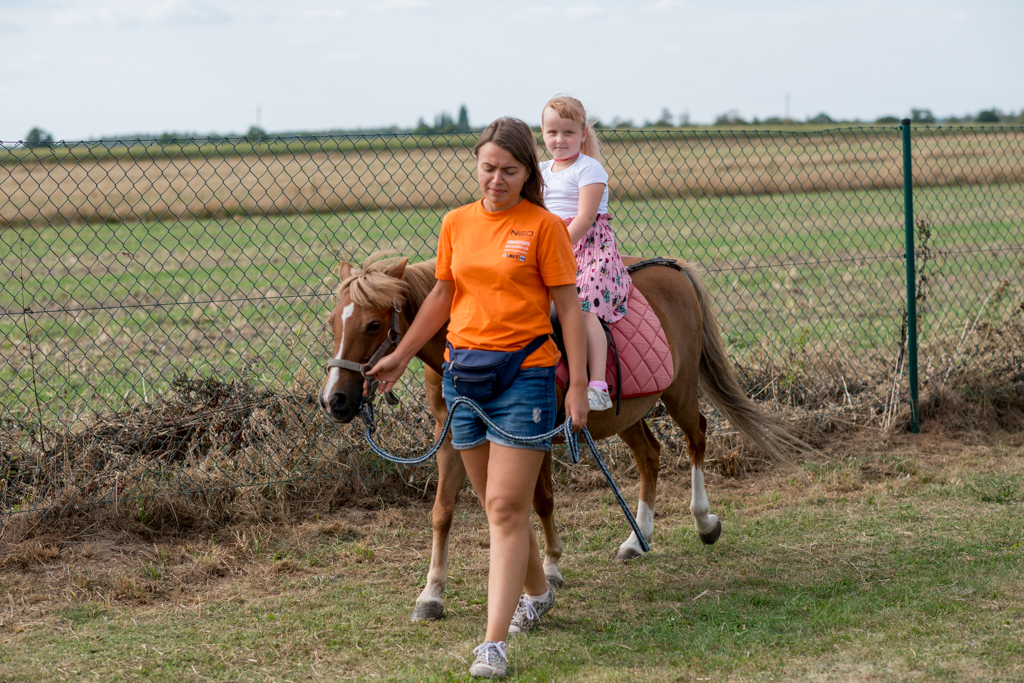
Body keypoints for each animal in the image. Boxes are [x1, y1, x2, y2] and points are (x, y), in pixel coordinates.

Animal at [321, 253, 806, 622]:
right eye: (332, 322)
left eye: (373, 324)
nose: (334, 400)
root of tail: (673, 268)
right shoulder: (454, 438)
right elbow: (443, 513)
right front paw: (431, 596)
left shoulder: (531, 435)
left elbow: (542, 501)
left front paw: (550, 568)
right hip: (625, 413)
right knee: (650, 455)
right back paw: (637, 539)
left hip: (680, 392)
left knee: (696, 439)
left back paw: (704, 522)